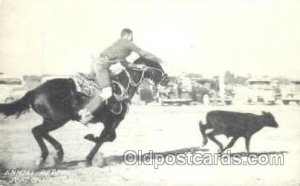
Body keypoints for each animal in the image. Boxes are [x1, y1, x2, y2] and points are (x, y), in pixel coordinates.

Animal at [0, 57, 169, 166]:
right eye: (157, 67)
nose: (167, 79)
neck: (123, 84)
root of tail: (34, 91)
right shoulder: (113, 121)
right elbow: (104, 139)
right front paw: (90, 156)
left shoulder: (109, 122)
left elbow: (109, 138)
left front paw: (90, 138)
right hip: (58, 119)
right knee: (37, 131)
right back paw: (48, 156)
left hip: (51, 119)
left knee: (40, 132)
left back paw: (57, 152)